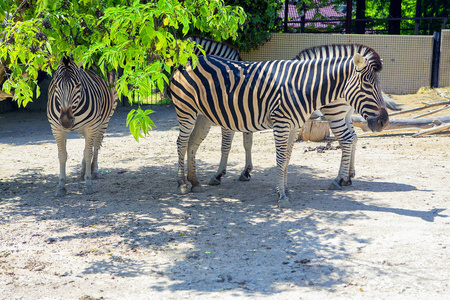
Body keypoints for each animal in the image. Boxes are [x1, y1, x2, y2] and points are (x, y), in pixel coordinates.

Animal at [47, 55, 118, 197]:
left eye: (78, 85)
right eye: (56, 85)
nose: (66, 121)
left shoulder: (91, 127)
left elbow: (89, 153)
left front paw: (88, 184)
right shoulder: (57, 129)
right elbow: (62, 155)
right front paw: (61, 186)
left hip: (103, 122)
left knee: (95, 146)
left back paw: (94, 171)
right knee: (88, 146)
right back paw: (84, 169)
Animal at [171, 45, 388, 207]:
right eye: (367, 85)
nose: (384, 121)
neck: (302, 87)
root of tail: (188, 60)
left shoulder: (293, 127)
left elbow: (286, 160)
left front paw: (283, 190)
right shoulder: (279, 124)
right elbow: (279, 159)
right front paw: (281, 194)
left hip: (202, 116)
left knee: (191, 144)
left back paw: (194, 182)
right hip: (186, 110)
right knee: (181, 143)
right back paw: (181, 184)